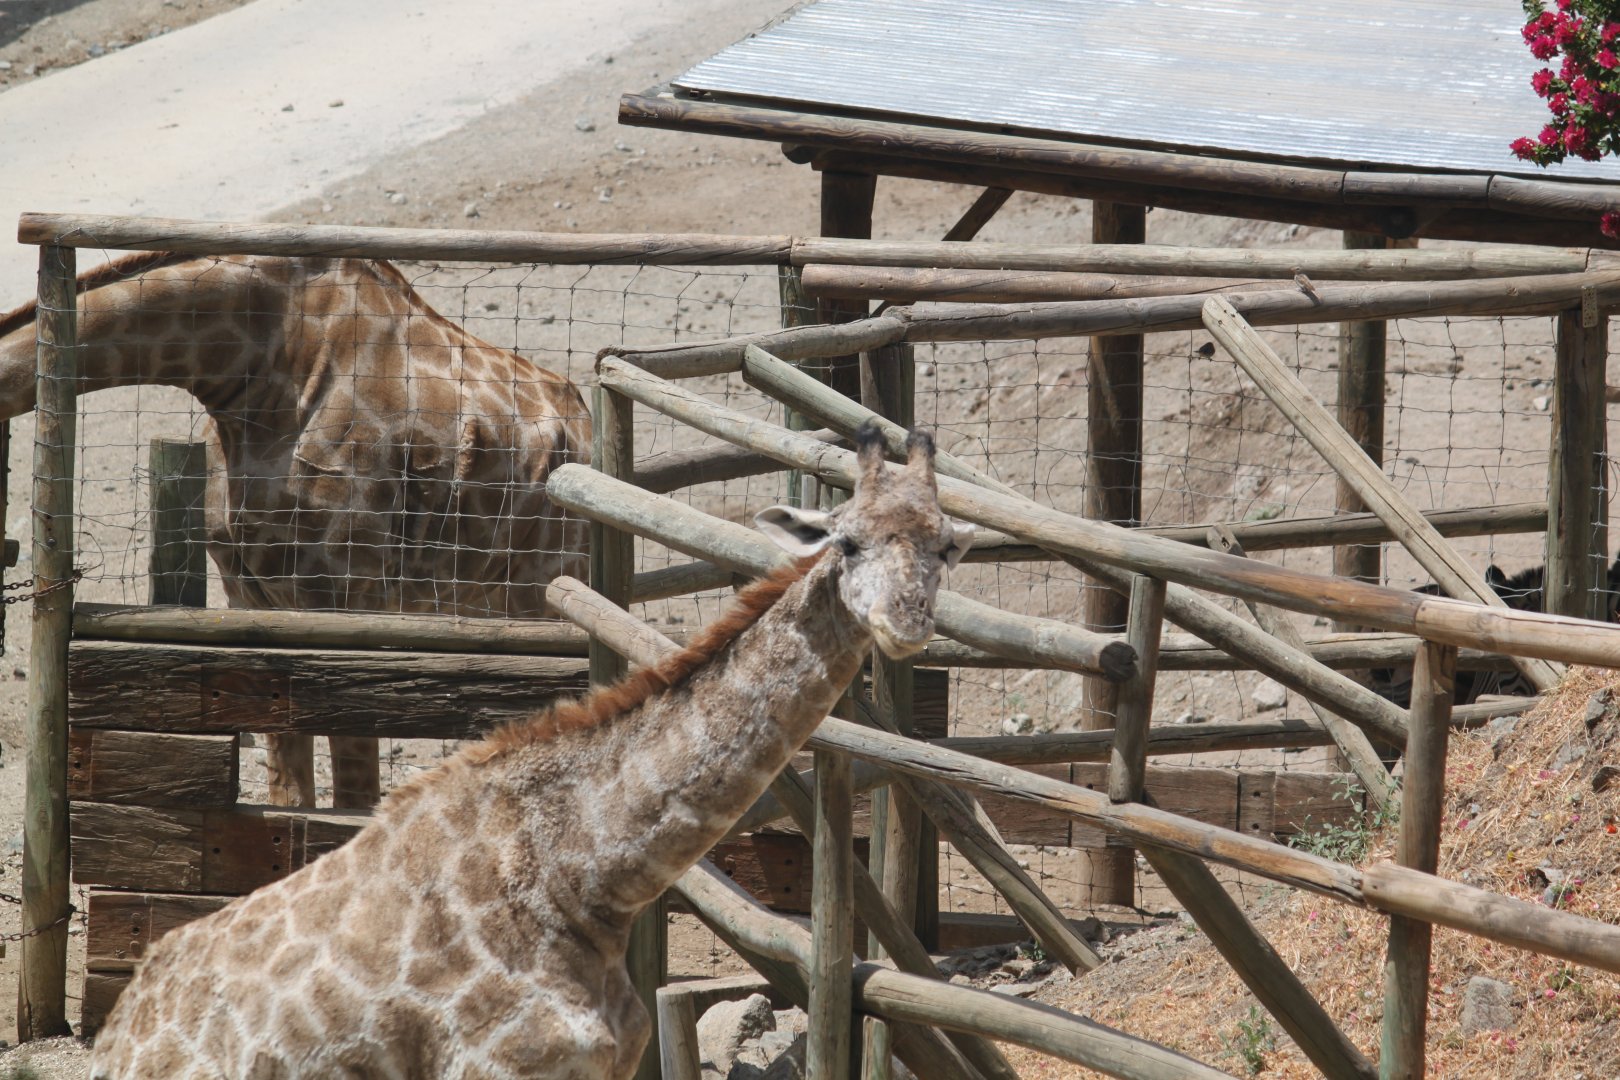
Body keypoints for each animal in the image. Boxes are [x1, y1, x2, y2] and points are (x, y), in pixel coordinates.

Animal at [0, 251, 591, 808]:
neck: (245, 373)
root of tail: (585, 430)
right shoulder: (250, 594)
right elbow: (290, 794)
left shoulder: (348, 596)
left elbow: (353, 796)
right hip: (492, 598)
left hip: (547, 590)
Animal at [89, 425, 974, 1080]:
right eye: (849, 542)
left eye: (947, 548)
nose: (906, 620)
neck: (583, 877)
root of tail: (116, 1034)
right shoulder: (495, 1068)